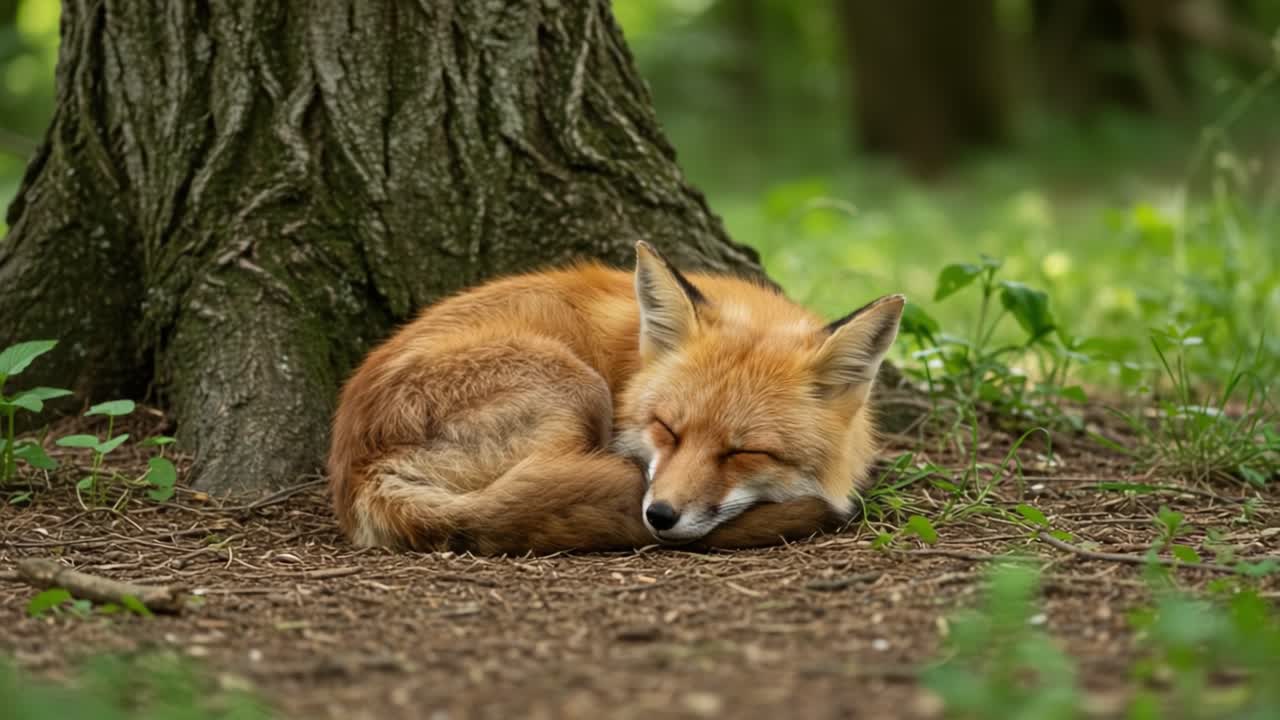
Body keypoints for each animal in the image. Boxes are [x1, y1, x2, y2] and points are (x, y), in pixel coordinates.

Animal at [327, 241, 904, 555]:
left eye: (743, 452)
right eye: (667, 429)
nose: (661, 515)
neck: (632, 364)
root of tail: (360, 467)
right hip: (576, 385)